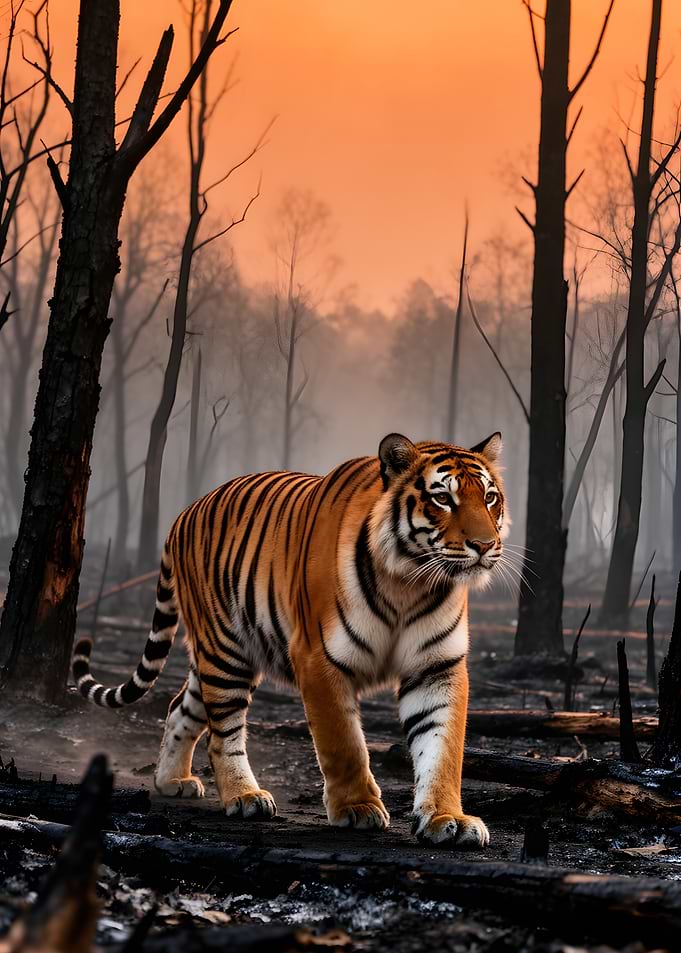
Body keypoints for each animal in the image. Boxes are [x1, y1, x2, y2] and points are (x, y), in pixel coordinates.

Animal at [73, 431, 506, 847]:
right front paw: (357, 808)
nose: (484, 545)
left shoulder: (438, 667)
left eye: (489, 498)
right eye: (442, 498)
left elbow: (442, 748)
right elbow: (343, 742)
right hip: (225, 649)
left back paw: (172, 781)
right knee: (222, 733)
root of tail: (184, 512)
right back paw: (245, 796)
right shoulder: (318, 658)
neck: (410, 582)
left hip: (220, 656)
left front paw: (447, 819)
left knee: (181, 707)